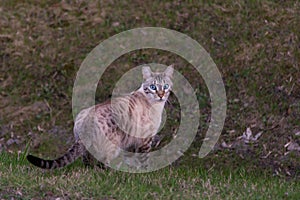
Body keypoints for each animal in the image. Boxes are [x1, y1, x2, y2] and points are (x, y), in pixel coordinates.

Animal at [27, 65, 176, 170]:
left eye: (165, 86)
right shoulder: (145, 140)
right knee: (101, 166)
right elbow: (144, 160)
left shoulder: (130, 142)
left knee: (87, 163)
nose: (161, 95)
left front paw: (132, 171)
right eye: (153, 87)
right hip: (111, 148)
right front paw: (143, 173)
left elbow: (131, 160)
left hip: (87, 145)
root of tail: (87, 122)